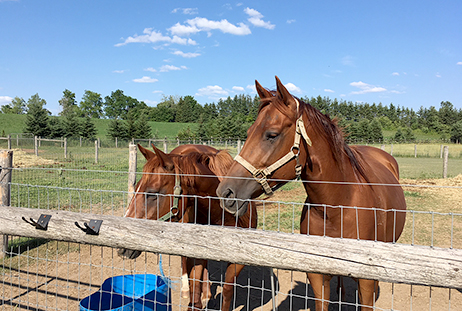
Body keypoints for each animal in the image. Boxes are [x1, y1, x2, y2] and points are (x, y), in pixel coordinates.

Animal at [117, 144, 258, 311]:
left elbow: (227, 292)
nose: (122, 247)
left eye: (152, 193)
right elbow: (194, 289)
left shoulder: (239, 262)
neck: (225, 215)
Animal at [217, 76, 408, 311]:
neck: (337, 207)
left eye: (272, 135)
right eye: (248, 132)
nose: (225, 192)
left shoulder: (366, 279)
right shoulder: (317, 276)